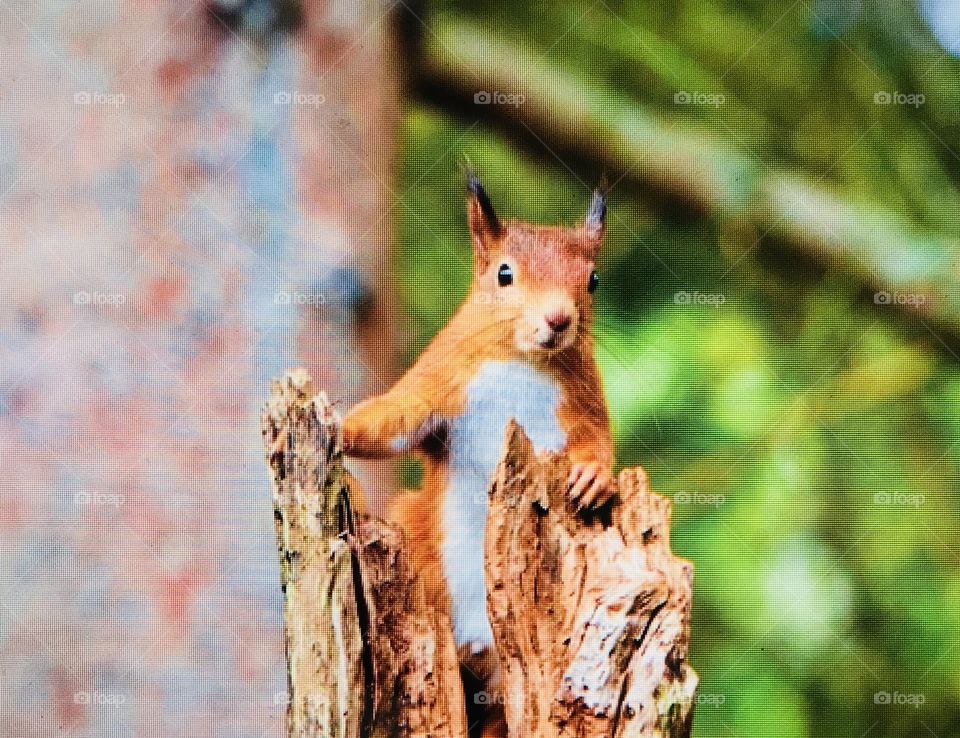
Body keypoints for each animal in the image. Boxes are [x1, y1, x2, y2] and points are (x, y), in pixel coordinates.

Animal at [341, 172, 615, 738]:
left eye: (593, 279)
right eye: (503, 273)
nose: (558, 319)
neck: (521, 360)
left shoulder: (584, 406)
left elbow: (599, 444)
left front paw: (594, 478)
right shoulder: (439, 383)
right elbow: (393, 420)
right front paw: (338, 425)